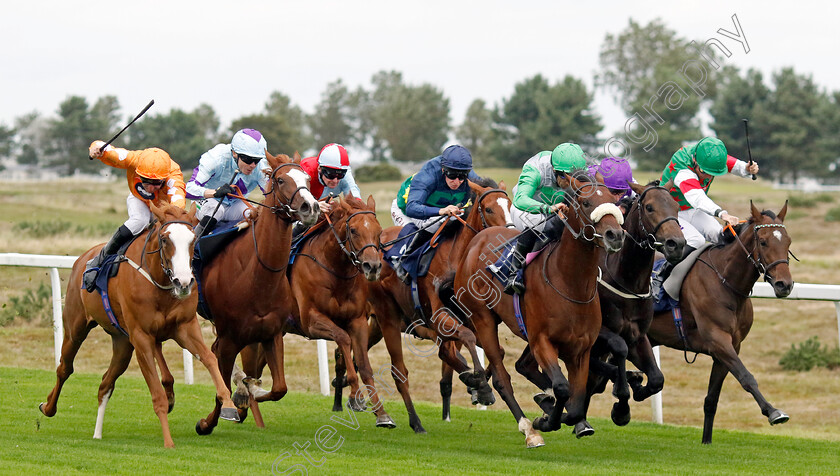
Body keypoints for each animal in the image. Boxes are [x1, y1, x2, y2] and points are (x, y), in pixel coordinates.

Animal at [40, 203, 240, 448]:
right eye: (165, 239)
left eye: (193, 239)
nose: (183, 282)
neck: (159, 282)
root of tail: (83, 258)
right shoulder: (142, 337)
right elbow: (157, 393)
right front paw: (168, 441)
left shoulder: (184, 327)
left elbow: (210, 359)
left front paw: (229, 405)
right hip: (75, 329)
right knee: (65, 368)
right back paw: (48, 407)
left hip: (122, 344)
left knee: (105, 383)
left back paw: (97, 433)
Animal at [195, 152, 320, 436]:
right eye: (281, 179)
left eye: (307, 179)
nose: (310, 207)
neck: (258, 277)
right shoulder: (229, 340)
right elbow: (222, 388)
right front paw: (208, 422)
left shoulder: (272, 334)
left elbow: (279, 388)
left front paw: (249, 390)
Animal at [332, 178, 508, 432]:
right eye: (489, 209)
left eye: (510, 205)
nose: (505, 236)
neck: (456, 259)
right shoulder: (437, 318)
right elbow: (464, 342)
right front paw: (480, 385)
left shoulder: (465, 319)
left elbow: (494, 351)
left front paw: (476, 382)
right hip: (386, 318)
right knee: (397, 371)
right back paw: (413, 421)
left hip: (375, 324)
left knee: (353, 355)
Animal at [452, 173, 624, 448]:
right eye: (586, 203)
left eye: (614, 201)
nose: (615, 235)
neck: (570, 284)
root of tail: (478, 239)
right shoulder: (541, 341)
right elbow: (562, 387)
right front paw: (544, 421)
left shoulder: (580, 350)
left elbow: (576, 402)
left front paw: (559, 413)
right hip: (483, 319)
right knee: (502, 378)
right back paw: (528, 429)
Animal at [648, 200, 792, 442]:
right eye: (763, 241)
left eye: (788, 241)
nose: (785, 285)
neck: (726, 282)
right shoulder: (718, 341)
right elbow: (746, 377)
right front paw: (773, 412)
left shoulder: (730, 346)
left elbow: (711, 400)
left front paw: (706, 441)